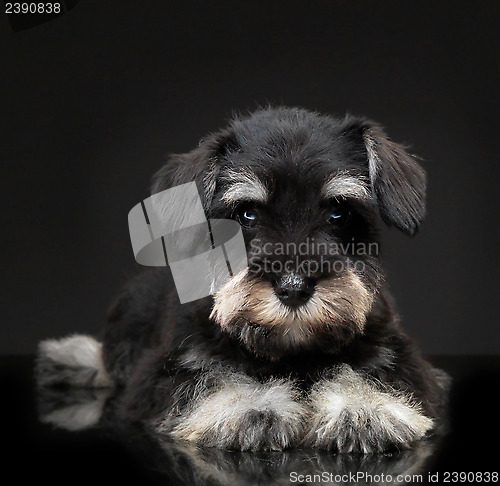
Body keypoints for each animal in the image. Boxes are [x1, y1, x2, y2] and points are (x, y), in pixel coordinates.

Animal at [36, 105, 450, 452]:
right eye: (247, 213)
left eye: (338, 211)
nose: (294, 288)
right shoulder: (162, 370)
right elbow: (207, 379)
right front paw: (249, 407)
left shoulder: (399, 353)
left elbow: (377, 375)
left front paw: (364, 409)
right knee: (108, 354)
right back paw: (70, 356)